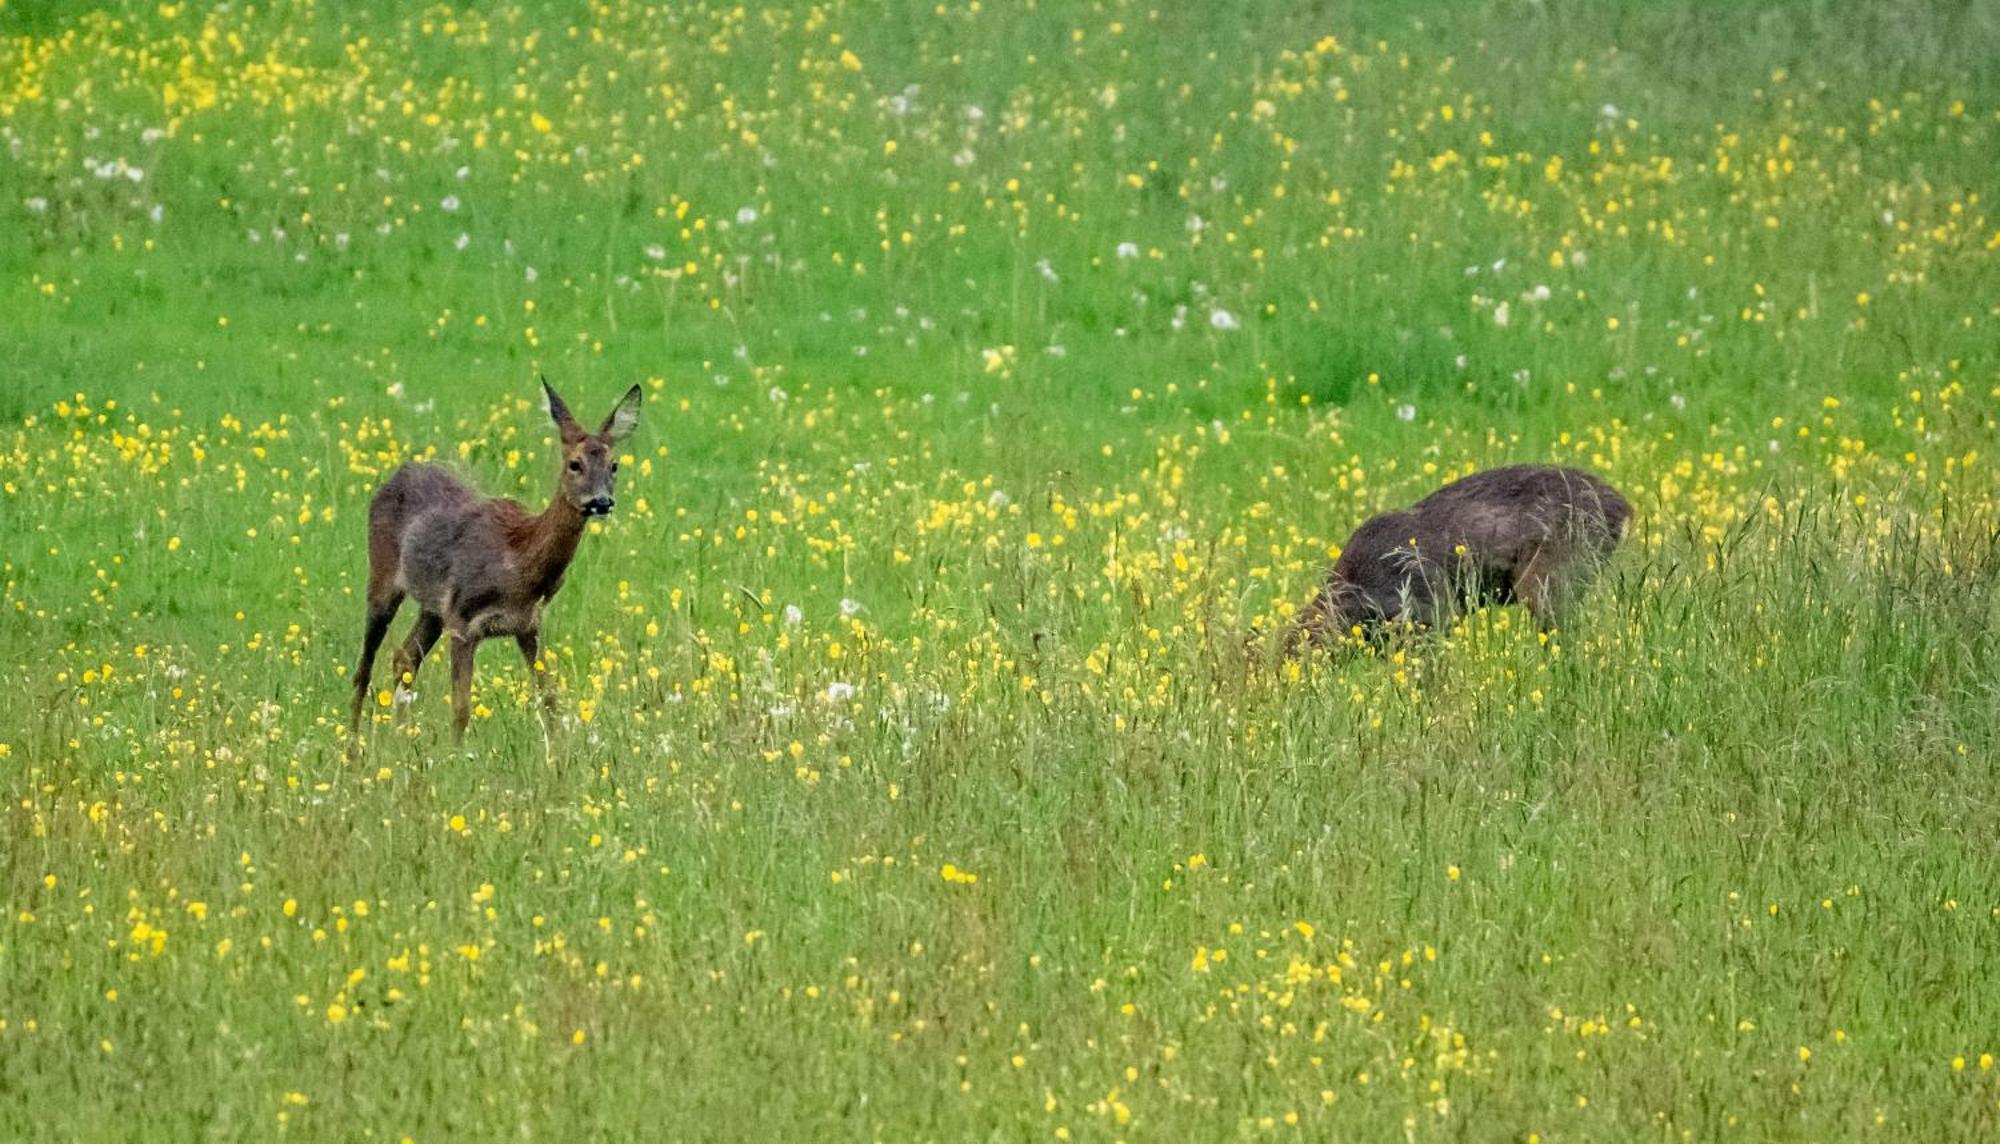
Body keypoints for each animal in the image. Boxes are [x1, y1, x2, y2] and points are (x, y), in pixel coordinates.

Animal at [348, 380, 644, 748]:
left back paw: (402, 737)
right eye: (575, 464)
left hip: (433, 608)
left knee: (404, 657)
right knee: (364, 667)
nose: (602, 502)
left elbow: (550, 701)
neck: (520, 563)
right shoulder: (464, 621)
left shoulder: (529, 624)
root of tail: (397, 474)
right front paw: (455, 756)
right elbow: (461, 709)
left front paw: (558, 756)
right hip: (383, 578)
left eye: (614, 465)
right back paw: (353, 746)